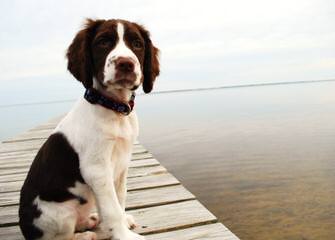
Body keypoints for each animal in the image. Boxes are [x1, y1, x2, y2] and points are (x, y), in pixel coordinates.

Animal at [18, 18, 160, 240]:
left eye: (137, 44)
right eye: (103, 42)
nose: (126, 63)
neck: (114, 109)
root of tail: (26, 228)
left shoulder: (122, 165)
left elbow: (120, 198)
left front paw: (123, 224)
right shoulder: (97, 169)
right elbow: (112, 208)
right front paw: (124, 235)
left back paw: (90, 221)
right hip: (60, 214)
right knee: (59, 237)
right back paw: (84, 235)